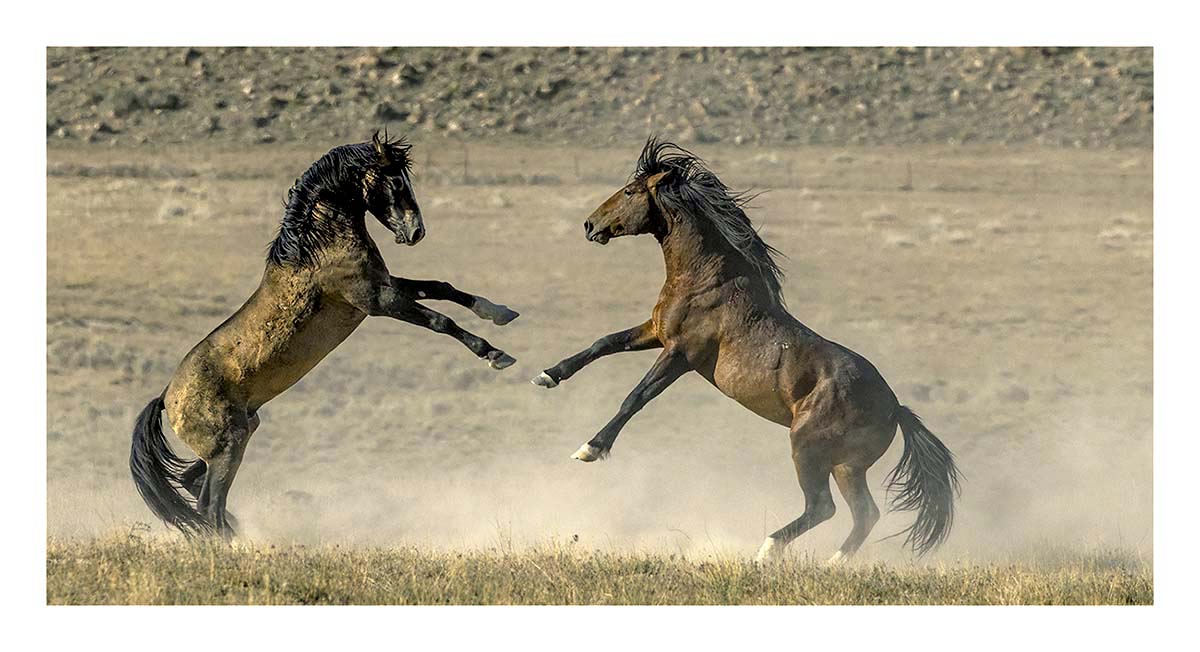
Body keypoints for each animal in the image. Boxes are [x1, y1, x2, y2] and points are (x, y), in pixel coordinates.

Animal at [130, 132, 520, 539]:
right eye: (396, 182)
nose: (415, 233)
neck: (318, 248)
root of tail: (167, 397)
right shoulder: (377, 300)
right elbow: (441, 321)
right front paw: (495, 355)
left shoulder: (387, 286)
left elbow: (442, 287)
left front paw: (499, 312)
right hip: (228, 446)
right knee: (210, 504)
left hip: (239, 434)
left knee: (193, 485)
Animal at [532, 138, 960, 562]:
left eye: (630, 191)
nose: (589, 225)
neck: (706, 279)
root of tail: (895, 408)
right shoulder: (656, 332)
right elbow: (603, 343)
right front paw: (548, 376)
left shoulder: (681, 353)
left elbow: (635, 397)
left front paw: (589, 449)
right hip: (847, 465)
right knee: (864, 513)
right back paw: (833, 562)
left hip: (808, 448)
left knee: (823, 507)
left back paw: (768, 550)